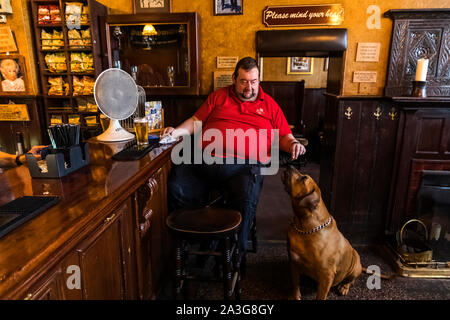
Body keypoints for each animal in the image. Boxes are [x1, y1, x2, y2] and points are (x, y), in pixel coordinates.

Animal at [284, 166, 364, 298]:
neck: (304, 228)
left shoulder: (326, 275)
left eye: (304, 178)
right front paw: (295, 296)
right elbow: (295, 284)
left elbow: (320, 296)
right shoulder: (293, 263)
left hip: (355, 264)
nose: (290, 166)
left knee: (350, 280)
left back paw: (344, 287)